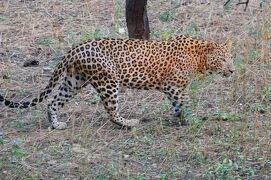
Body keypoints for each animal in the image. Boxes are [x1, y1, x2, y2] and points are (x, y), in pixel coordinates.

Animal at [0, 34, 236, 129]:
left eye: (231, 58)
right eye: (223, 59)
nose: (232, 70)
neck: (199, 58)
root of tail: (74, 48)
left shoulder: (173, 88)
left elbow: (178, 105)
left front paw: (177, 117)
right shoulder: (174, 86)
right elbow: (184, 102)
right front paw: (191, 119)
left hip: (73, 81)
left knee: (53, 101)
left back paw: (56, 124)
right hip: (108, 81)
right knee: (111, 111)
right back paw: (129, 123)